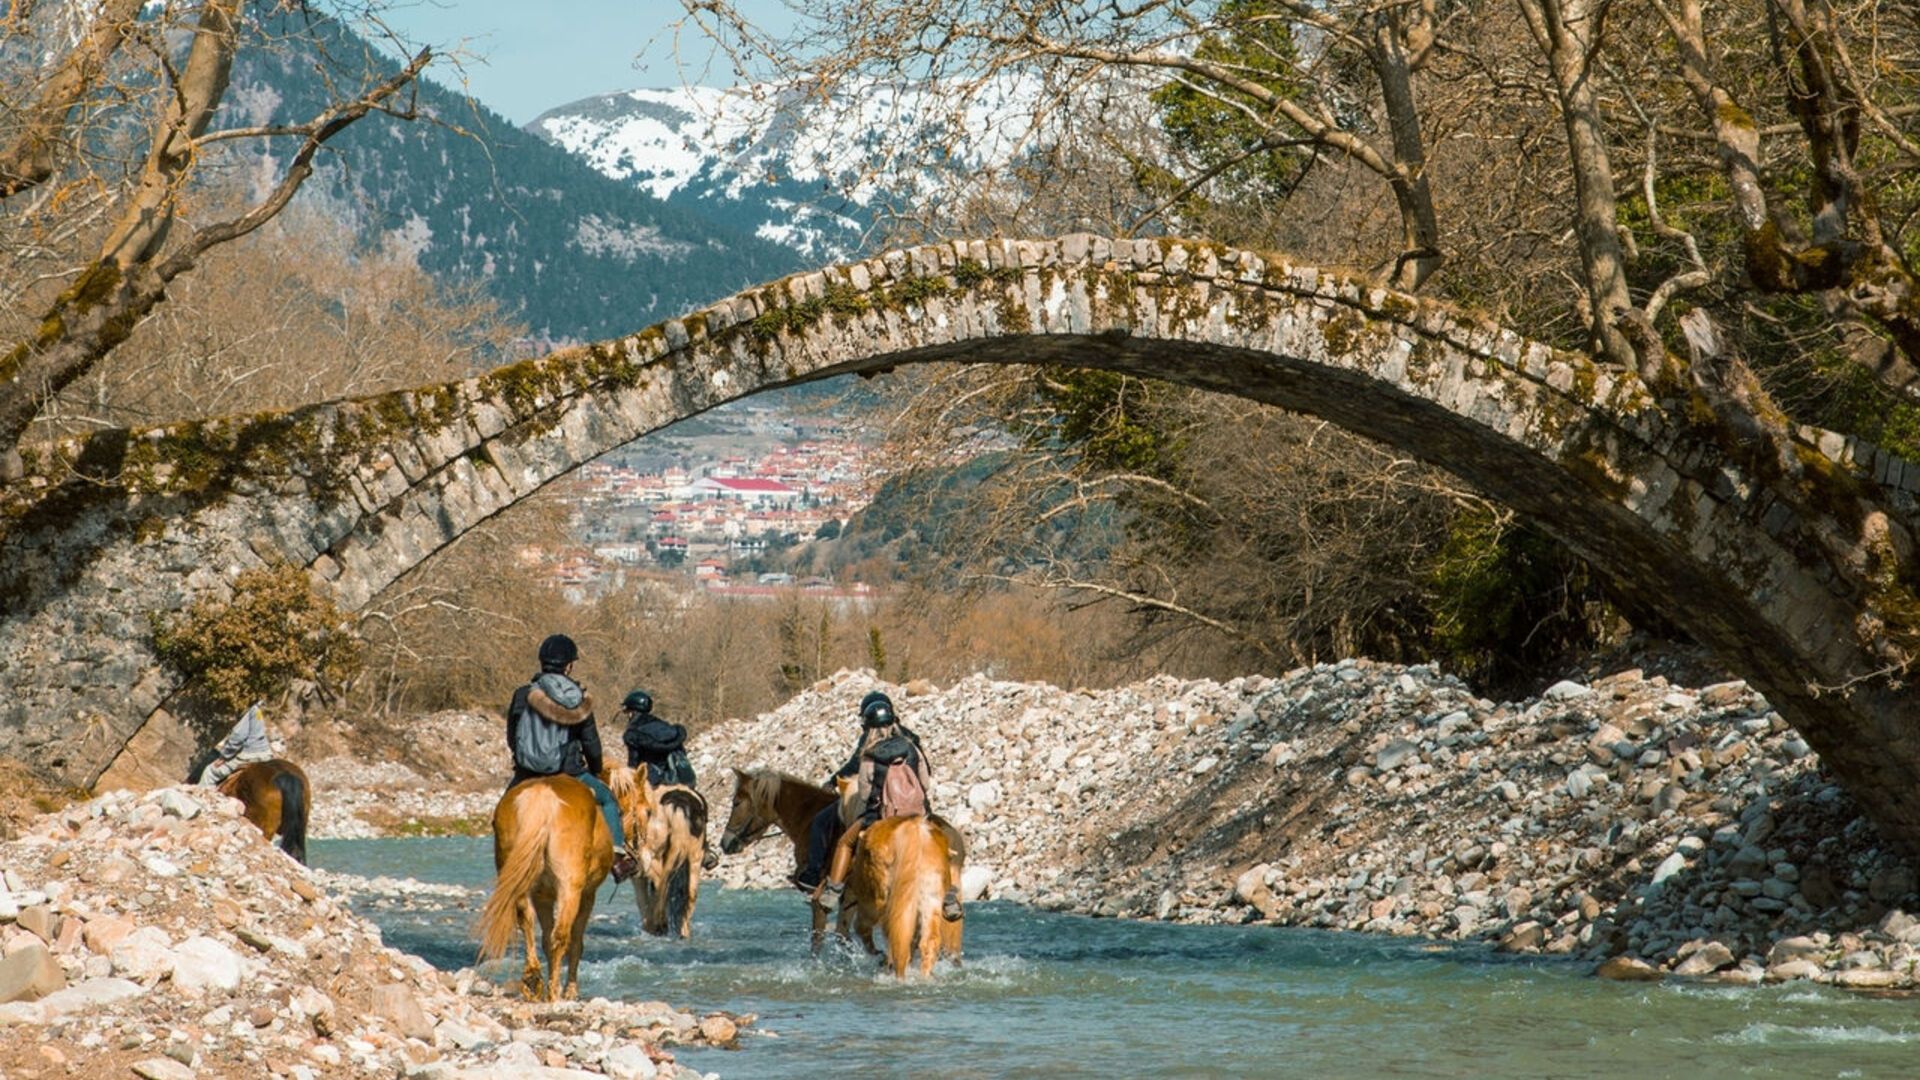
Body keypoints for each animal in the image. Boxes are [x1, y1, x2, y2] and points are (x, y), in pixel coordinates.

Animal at [472, 772, 606, 999]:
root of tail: (542, 796)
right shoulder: (588, 895)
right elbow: (575, 942)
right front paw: (570, 991)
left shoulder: (542, 897)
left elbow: (543, 937)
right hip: (569, 888)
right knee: (561, 937)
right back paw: (553, 993)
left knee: (527, 921)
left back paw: (533, 981)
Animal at [610, 764, 710, 933]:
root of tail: (678, 806)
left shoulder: (640, 870)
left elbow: (644, 900)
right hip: (694, 857)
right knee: (687, 895)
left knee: (662, 887)